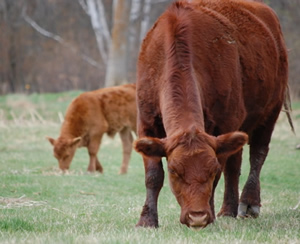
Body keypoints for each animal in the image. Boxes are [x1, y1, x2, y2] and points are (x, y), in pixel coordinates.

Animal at [134, 0, 288, 229]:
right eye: (174, 170)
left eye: (211, 169)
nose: (196, 216)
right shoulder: (146, 122)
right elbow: (153, 176)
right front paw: (147, 220)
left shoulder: (226, 122)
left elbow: (219, 175)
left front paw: (211, 216)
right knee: (234, 165)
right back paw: (228, 209)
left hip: (271, 110)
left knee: (257, 155)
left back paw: (248, 203)